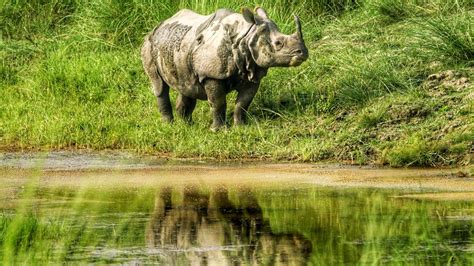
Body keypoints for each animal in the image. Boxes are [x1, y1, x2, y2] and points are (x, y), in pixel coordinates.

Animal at [140, 6, 312, 130]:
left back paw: (187, 126)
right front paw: (219, 130)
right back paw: (169, 125)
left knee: (187, 86)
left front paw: (241, 127)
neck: (246, 37)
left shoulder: (253, 72)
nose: (302, 52)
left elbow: (243, 103)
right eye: (278, 44)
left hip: (180, 48)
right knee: (159, 86)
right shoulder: (212, 75)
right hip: (148, 44)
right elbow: (218, 102)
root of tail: (159, 25)